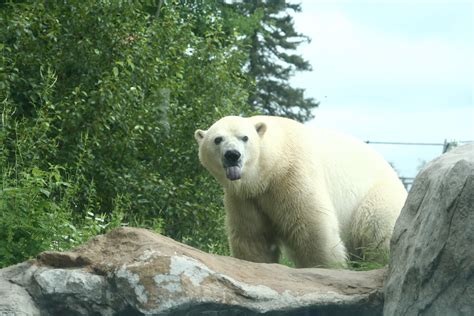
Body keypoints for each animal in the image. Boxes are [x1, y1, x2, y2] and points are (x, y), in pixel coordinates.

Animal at [193, 115, 408, 268]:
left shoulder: (294, 175)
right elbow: (252, 236)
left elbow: (313, 229)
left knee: (378, 232)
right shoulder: (245, 198)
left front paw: (328, 268)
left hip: (376, 198)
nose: (232, 155)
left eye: (244, 137)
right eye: (217, 139)